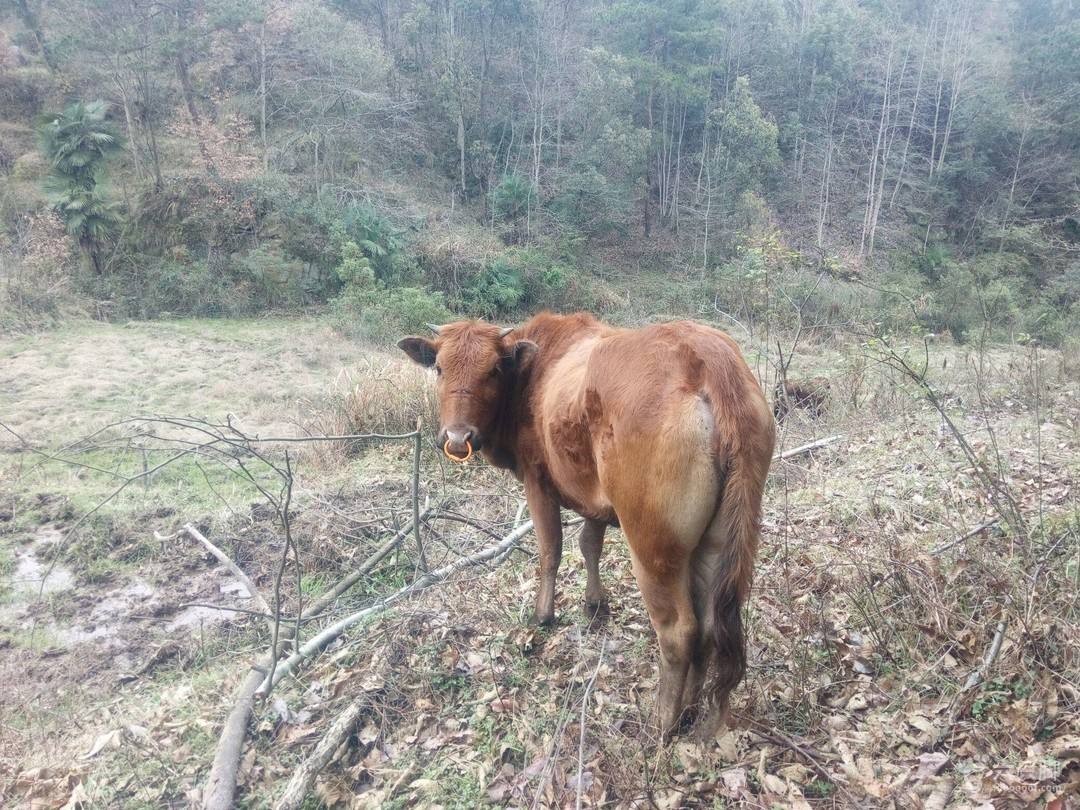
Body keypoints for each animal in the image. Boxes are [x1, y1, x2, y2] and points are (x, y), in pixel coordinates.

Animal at [401, 313, 773, 734]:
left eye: (493, 369)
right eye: (439, 368)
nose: (458, 437)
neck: (534, 376)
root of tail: (707, 360)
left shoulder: (537, 481)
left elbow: (551, 550)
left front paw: (543, 615)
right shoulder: (594, 498)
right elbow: (589, 544)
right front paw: (595, 605)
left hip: (653, 550)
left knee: (679, 632)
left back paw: (662, 722)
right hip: (717, 541)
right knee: (708, 627)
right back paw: (691, 709)